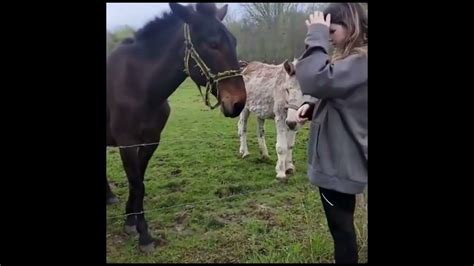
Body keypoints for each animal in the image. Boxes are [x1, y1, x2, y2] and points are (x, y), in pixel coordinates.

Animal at [106, 2, 246, 251]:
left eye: (233, 41)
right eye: (212, 43)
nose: (238, 103)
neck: (139, 85)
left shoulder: (151, 141)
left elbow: (138, 182)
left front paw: (131, 220)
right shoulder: (127, 144)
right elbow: (137, 184)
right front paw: (144, 235)